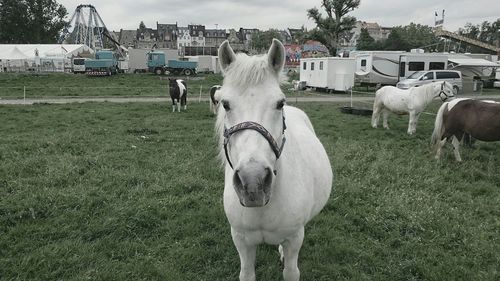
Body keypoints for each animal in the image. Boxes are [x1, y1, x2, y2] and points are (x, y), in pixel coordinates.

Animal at [215, 38, 332, 278]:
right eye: (225, 104)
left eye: (280, 103)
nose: (253, 183)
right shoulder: (241, 241)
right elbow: (247, 274)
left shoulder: (294, 239)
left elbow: (291, 272)